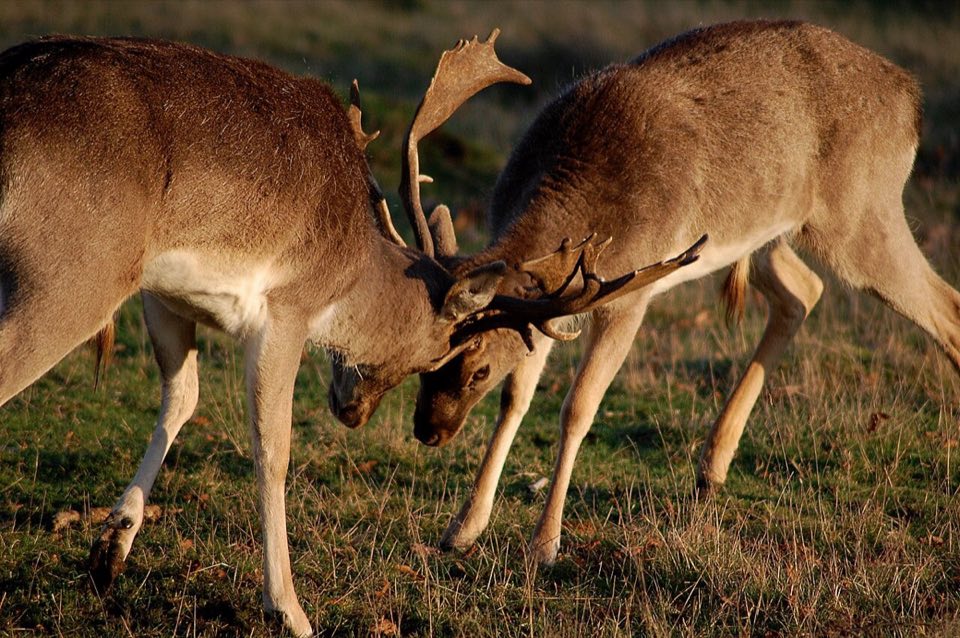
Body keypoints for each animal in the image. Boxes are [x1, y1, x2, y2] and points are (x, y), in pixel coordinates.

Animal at [0, 32, 705, 635]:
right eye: (442, 351)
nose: (355, 412)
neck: (351, 268)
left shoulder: (163, 294)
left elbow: (182, 401)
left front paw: (109, 554)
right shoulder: (285, 309)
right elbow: (273, 448)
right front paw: (289, 609)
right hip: (73, 276)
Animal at [404, 20, 960, 567]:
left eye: (477, 370)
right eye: (426, 358)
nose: (429, 431)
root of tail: (911, 100)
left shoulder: (626, 297)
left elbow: (577, 409)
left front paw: (545, 544)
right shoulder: (546, 310)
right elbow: (515, 399)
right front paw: (462, 529)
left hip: (862, 212)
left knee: (944, 307)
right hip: (767, 235)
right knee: (804, 290)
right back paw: (711, 466)